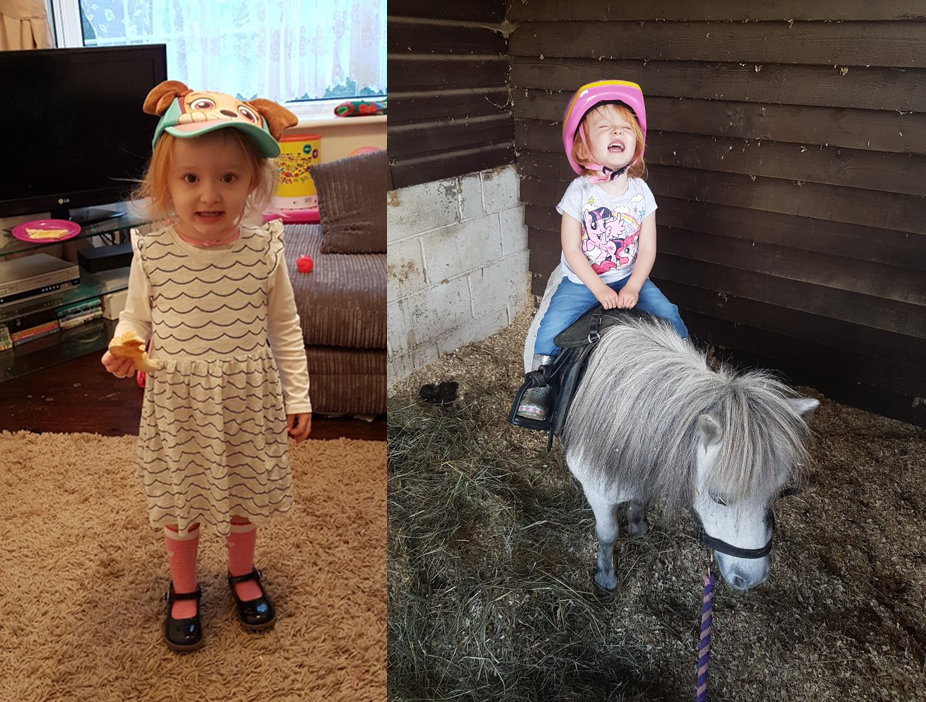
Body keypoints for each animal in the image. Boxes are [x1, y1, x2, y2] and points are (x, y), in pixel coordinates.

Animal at [528, 270, 820, 592]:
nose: (752, 579)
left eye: (778, 493)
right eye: (719, 498)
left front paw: (638, 525)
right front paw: (605, 576)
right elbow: (607, 535)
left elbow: (639, 500)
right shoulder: (599, 495)